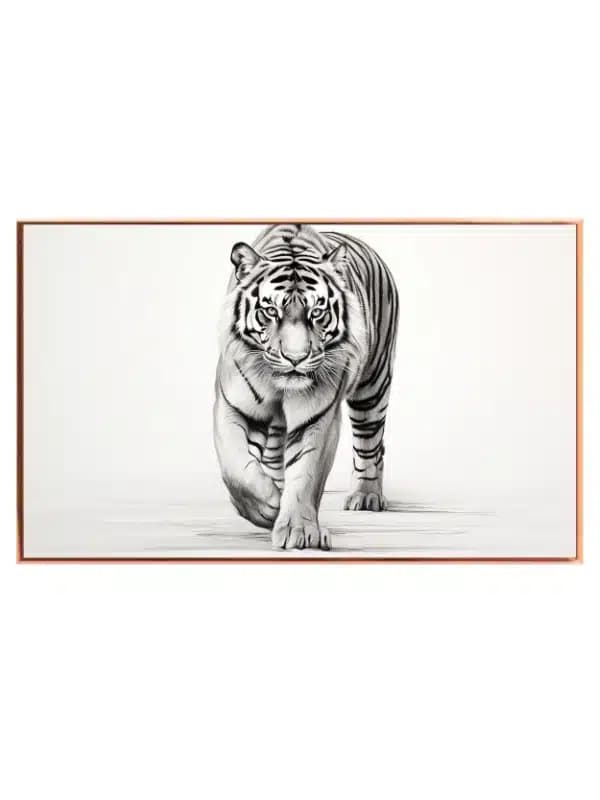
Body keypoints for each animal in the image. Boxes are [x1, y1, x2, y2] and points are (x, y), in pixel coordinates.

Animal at [213, 223, 399, 550]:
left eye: (317, 313)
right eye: (270, 312)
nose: (296, 358)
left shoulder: (318, 416)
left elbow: (306, 474)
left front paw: (298, 531)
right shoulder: (232, 406)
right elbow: (236, 468)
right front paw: (267, 505)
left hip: (372, 387)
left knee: (370, 444)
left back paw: (366, 496)